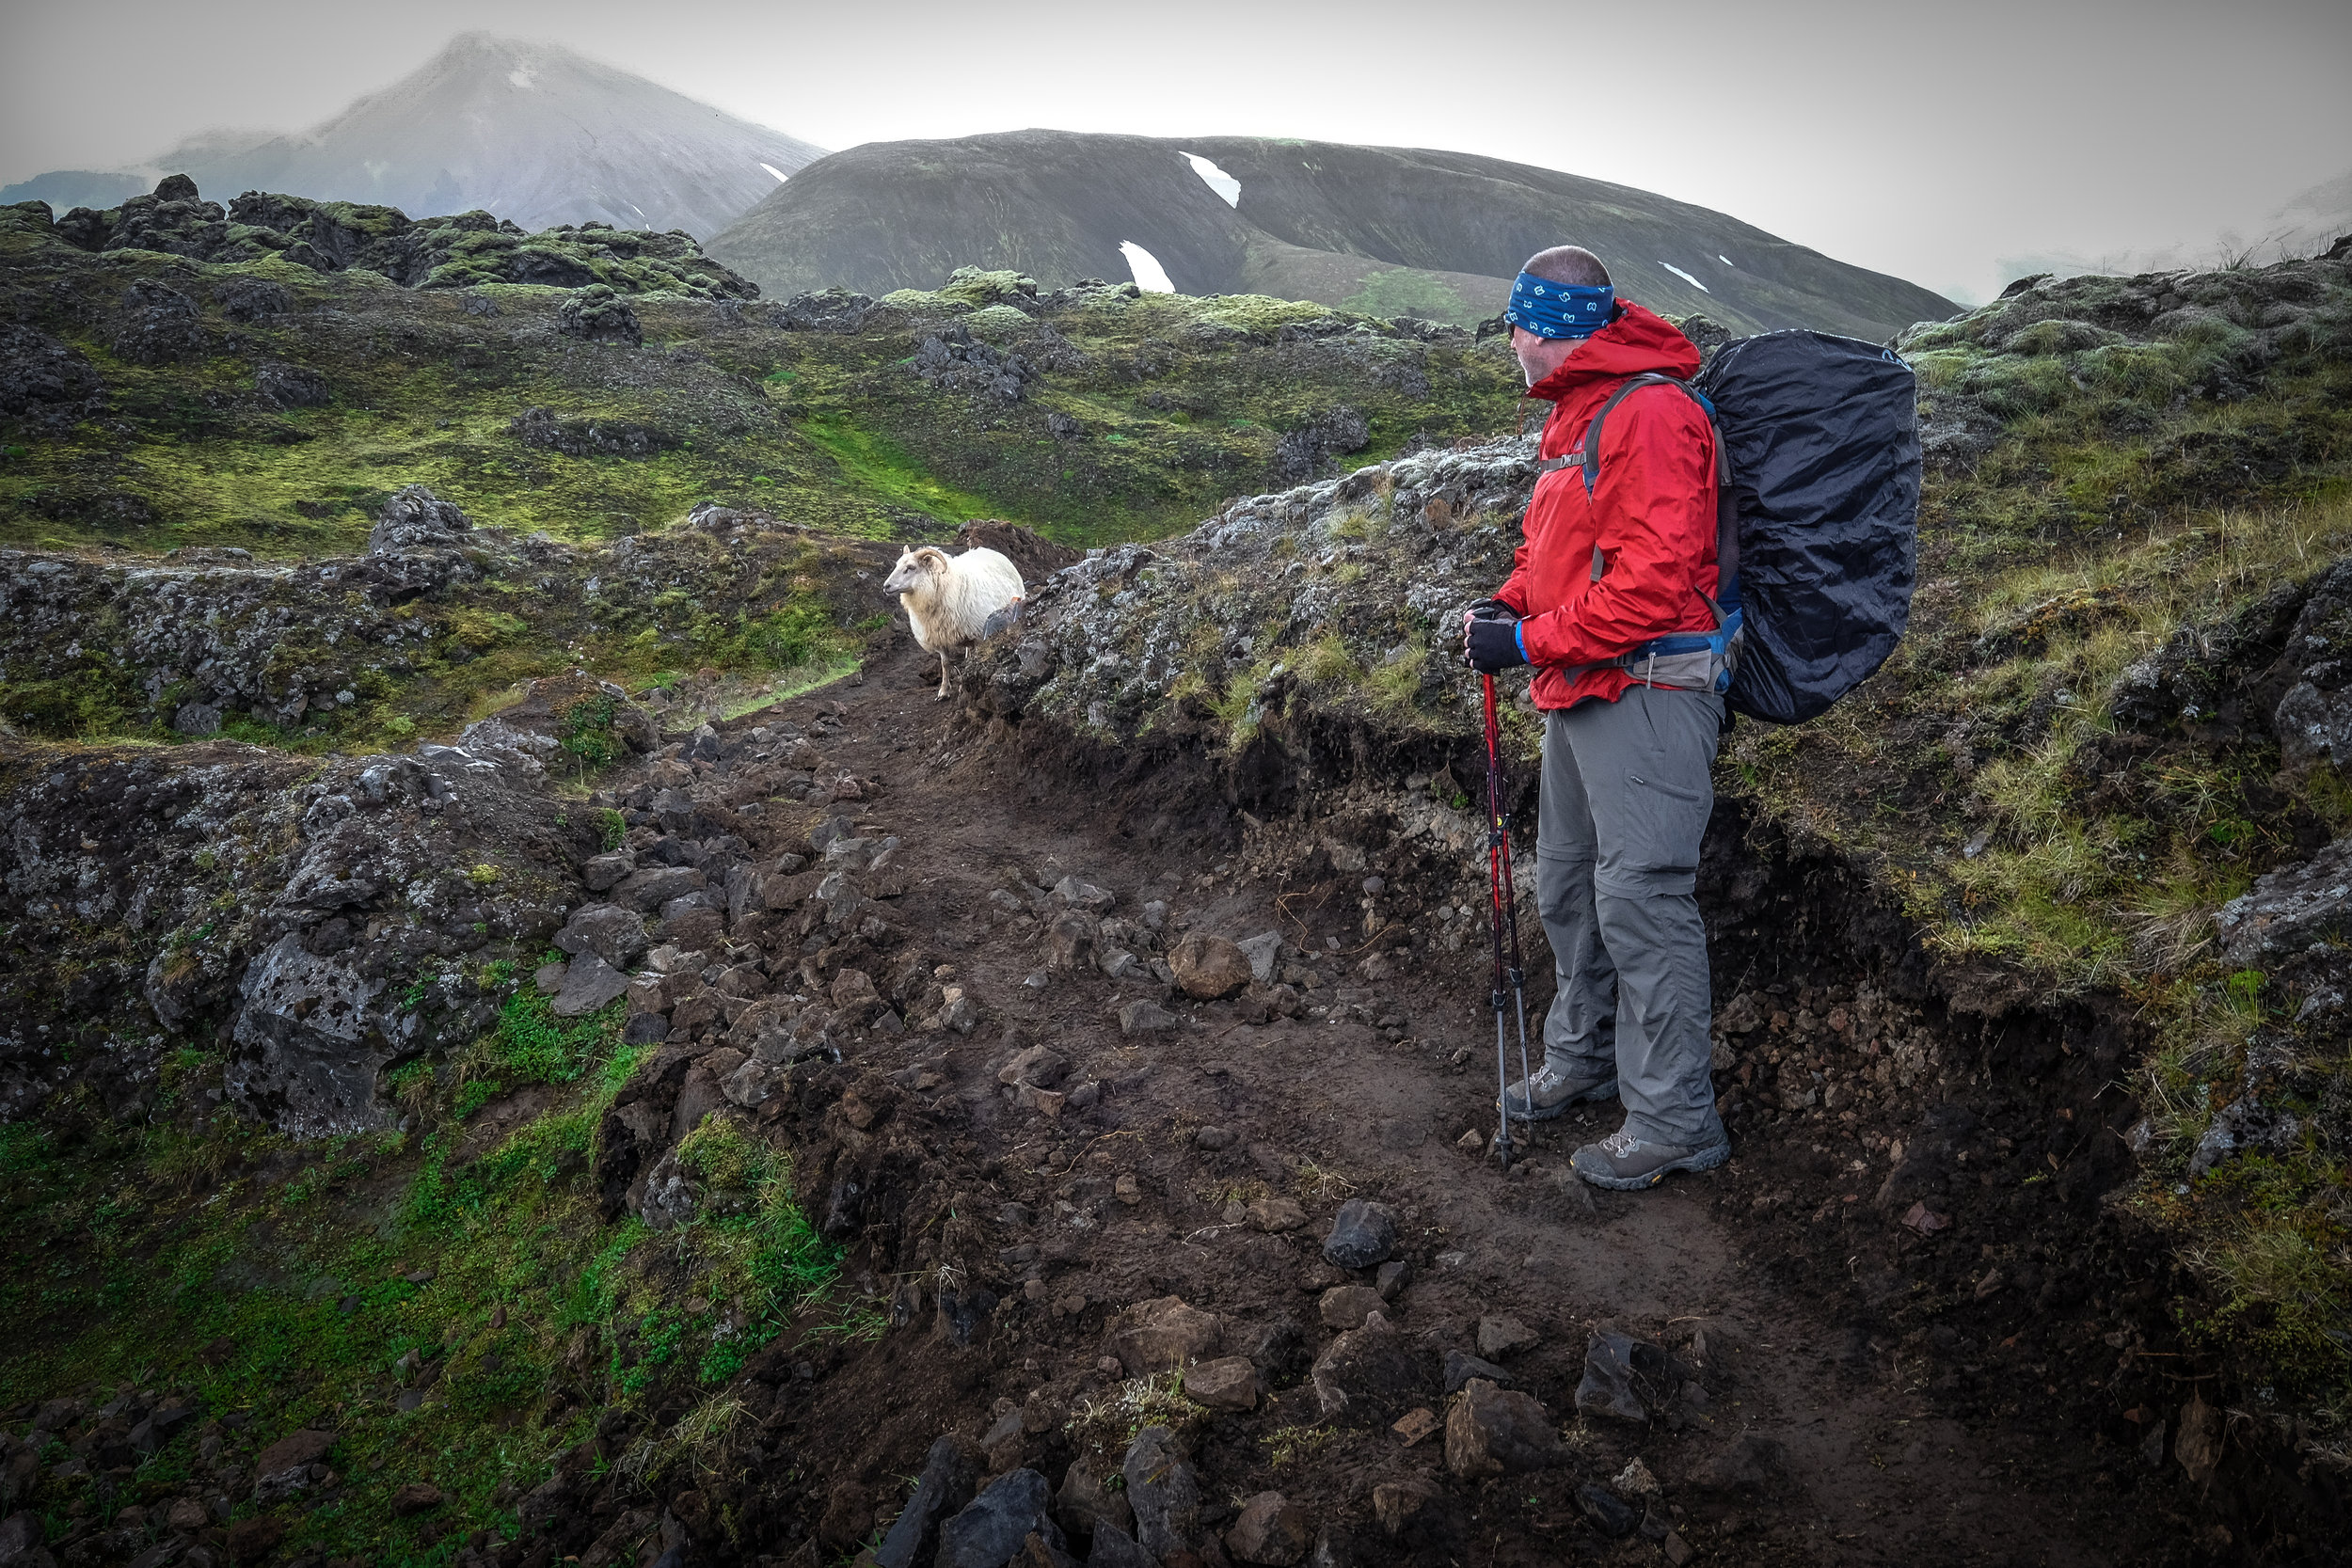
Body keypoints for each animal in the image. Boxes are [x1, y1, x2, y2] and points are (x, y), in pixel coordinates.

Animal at [884, 549, 1025, 700]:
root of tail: (990, 551)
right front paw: (943, 691)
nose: (886, 586)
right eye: (897, 565)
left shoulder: (978, 635)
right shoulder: (939, 638)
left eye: (911, 567)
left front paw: (963, 686)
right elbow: (945, 664)